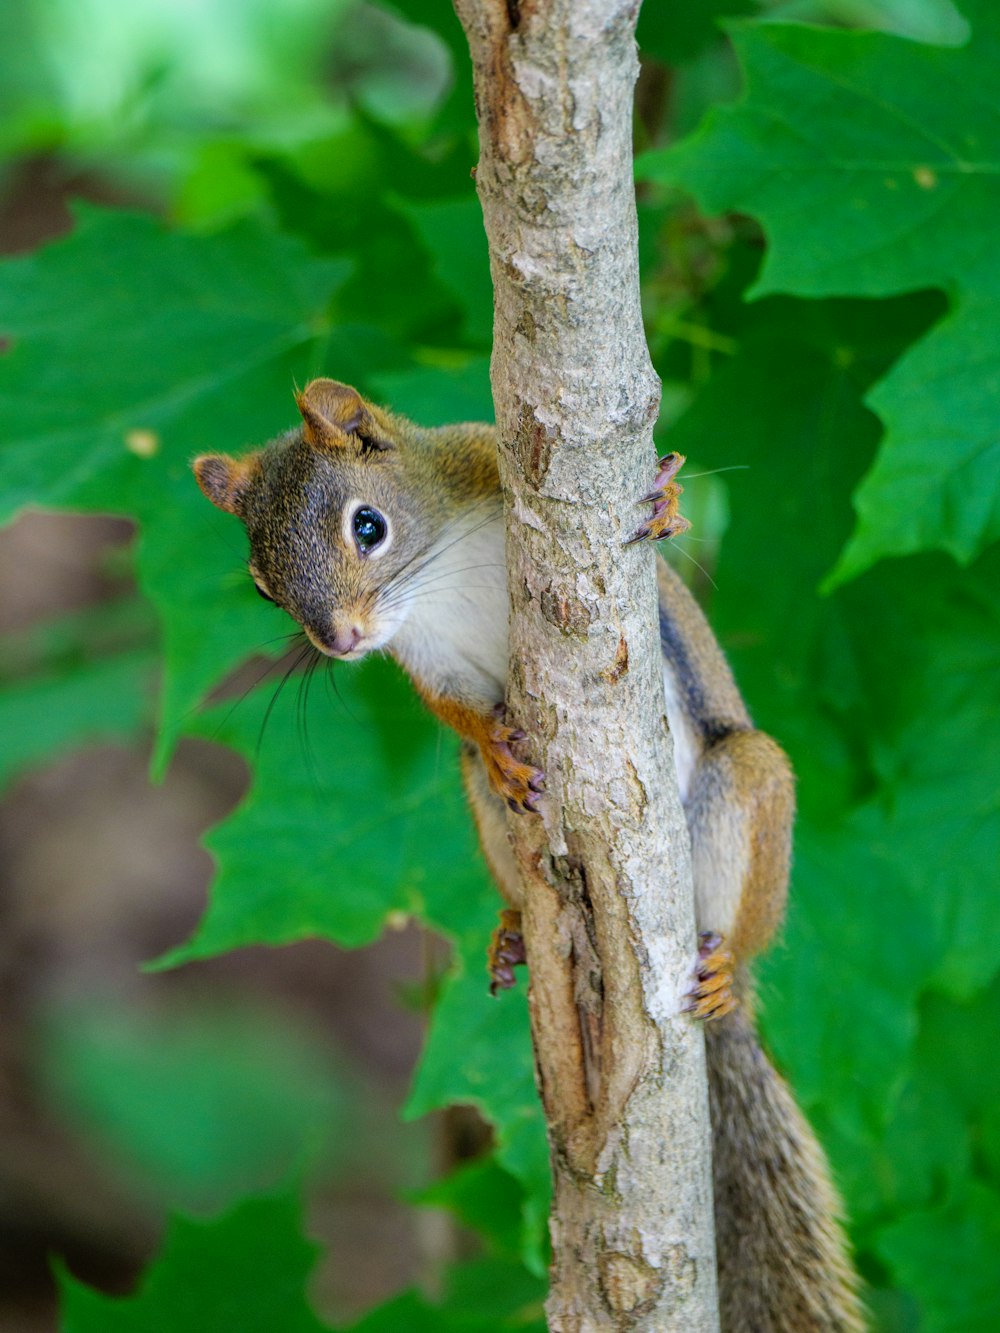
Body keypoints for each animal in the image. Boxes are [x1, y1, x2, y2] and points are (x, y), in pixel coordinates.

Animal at [193, 378, 864, 1333]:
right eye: (261, 584)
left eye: (368, 526)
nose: (338, 641)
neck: (431, 582)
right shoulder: (426, 661)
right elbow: (456, 711)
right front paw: (497, 743)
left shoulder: (485, 460)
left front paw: (666, 504)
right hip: (486, 812)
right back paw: (512, 930)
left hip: (748, 780)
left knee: (744, 908)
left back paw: (726, 968)